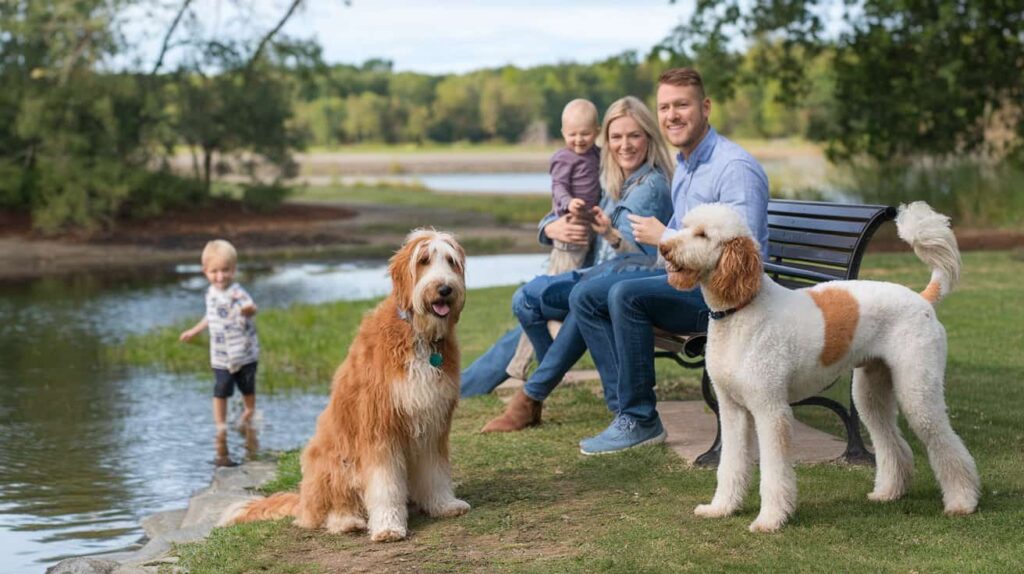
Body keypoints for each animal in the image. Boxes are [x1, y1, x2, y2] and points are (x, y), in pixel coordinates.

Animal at [222, 229, 468, 540]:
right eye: (424, 260)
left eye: (451, 261)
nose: (445, 289)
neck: (419, 334)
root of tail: (303, 500)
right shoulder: (379, 426)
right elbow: (384, 484)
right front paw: (388, 525)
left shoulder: (433, 421)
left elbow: (435, 470)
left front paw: (444, 504)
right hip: (335, 461)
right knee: (333, 508)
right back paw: (347, 521)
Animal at [659, 202, 978, 532]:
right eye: (685, 226)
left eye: (703, 234)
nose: (663, 247)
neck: (742, 308)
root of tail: (922, 298)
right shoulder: (732, 410)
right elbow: (730, 464)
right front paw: (721, 507)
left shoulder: (771, 410)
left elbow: (774, 471)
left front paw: (770, 519)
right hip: (871, 392)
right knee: (892, 443)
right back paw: (890, 491)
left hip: (918, 390)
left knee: (946, 444)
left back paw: (962, 502)